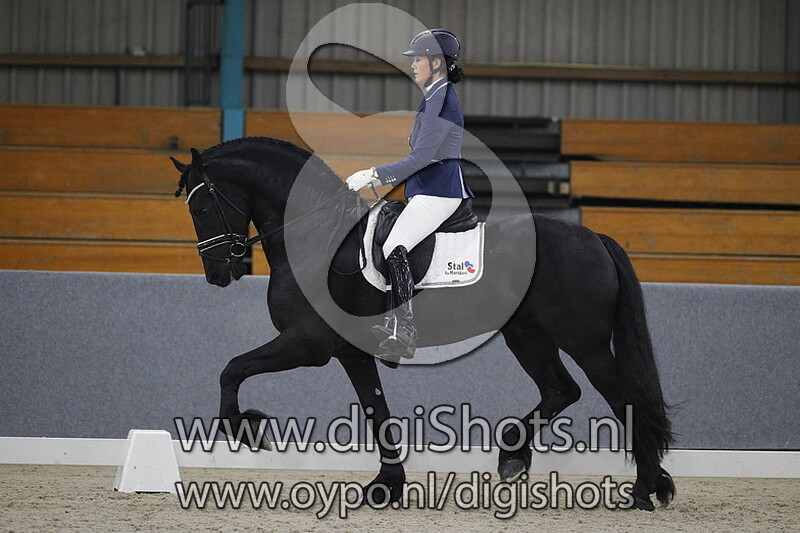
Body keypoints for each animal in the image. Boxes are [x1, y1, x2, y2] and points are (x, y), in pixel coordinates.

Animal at [170, 136, 675, 511]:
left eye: (201, 208)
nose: (218, 274)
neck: (314, 237)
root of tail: (594, 237)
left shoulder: (307, 343)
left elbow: (232, 369)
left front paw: (248, 429)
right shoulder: (349, 352)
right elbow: (376, 411)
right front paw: (386, 485)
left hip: (584, 342)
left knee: (622, 398)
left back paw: (645, 489)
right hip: (529, 336)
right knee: (560, 390)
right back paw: (516, 457)